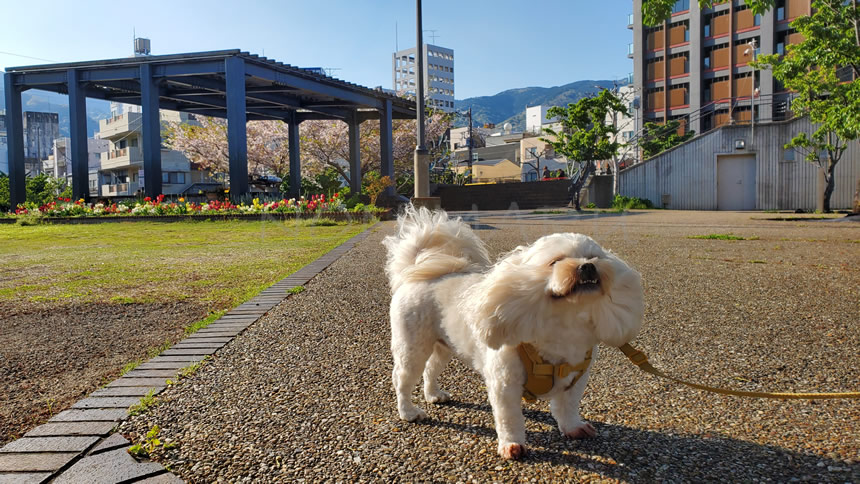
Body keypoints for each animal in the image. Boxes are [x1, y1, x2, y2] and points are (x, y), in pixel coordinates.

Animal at [384, 206, 644, 460]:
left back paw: (434, 395)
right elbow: (509, 419)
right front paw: (512, 445)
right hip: (412, 348)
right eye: (555, 261)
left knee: (430, 369)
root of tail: (416, 272)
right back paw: (409, 412)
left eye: (594, 257)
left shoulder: (575, 380)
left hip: (443, 346)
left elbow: (567, 408)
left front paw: (573, 428)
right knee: (402, 379)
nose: (588, 266)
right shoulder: (505, 383)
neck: (564, 324)